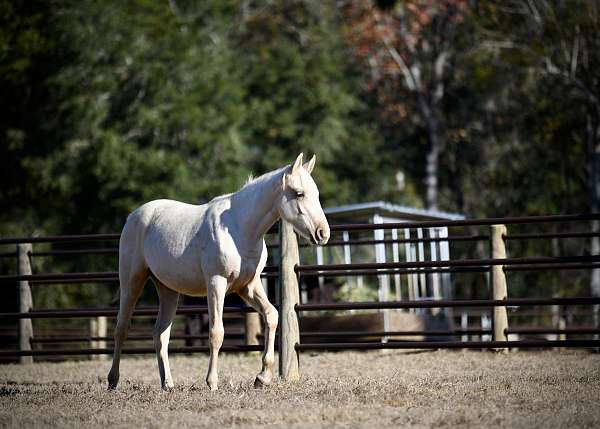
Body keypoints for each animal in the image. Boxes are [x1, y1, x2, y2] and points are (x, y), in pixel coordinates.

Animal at [109, 153, 332, 388]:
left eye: (316, 194)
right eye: (299, 193)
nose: (322, 233)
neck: (239, 229)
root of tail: (133, 216)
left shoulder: (248, 286)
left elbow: (272, 315)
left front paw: (262, 377)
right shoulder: (217, 283)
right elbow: (217, 333)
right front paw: (212, 382)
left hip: (168, 290)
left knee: (160, 334)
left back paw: (167, 384)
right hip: (132, 282)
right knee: (121, 329)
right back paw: (113, 381)